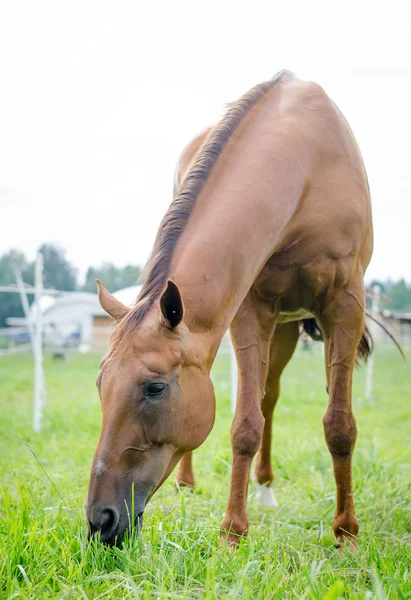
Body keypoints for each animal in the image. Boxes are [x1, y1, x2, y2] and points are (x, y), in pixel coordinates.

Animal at [86, 70, 374, 548]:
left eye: (154, 388)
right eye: (100, 385)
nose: (100, 521)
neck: (305, 168)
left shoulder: (345, 305)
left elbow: (339, 424)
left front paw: (346, 532)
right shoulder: (249, 310)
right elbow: (244, 425)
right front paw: (233, 532)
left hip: (288, 327)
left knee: (270, 395)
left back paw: (267, 490)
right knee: (258, 398)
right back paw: (194, 481)